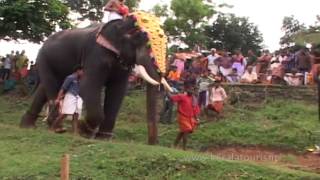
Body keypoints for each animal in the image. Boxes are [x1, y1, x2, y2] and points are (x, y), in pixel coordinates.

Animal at [20, 15, 172, 145]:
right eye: (143, 40)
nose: (153, 144)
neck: (121, 22)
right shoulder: (95, 54)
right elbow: (88, 85)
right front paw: (84, 130)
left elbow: (118, 91)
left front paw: (103, 138)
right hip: (43, 58)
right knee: (52, 86)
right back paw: (56, 127)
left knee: (47, 88)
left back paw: (28, 126)